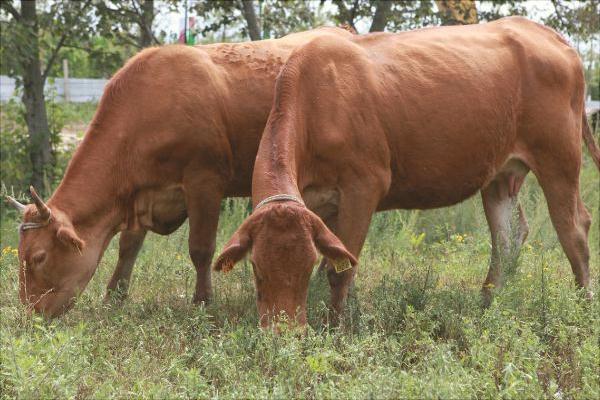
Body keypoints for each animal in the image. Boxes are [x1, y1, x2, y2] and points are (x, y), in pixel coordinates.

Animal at [7, 26, 354, 318]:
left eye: (38, 257)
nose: (29, 315)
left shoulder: (204, 181)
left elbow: (200, 249)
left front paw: (202, 303)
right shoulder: (141, 193)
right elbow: (128, 247)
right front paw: (113, 298)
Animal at [216, 17, 600, 326]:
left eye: (304, 267)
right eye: (256, 269)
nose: (283, 332)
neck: (317, 100)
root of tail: (539, 31)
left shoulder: (364, 185)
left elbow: (340, 272)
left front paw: (335, 329)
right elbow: (337, 264)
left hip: (559, 157)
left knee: (574, 228)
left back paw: (582, 305)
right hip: (501, 172)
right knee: (507, 238)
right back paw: (485, 306)